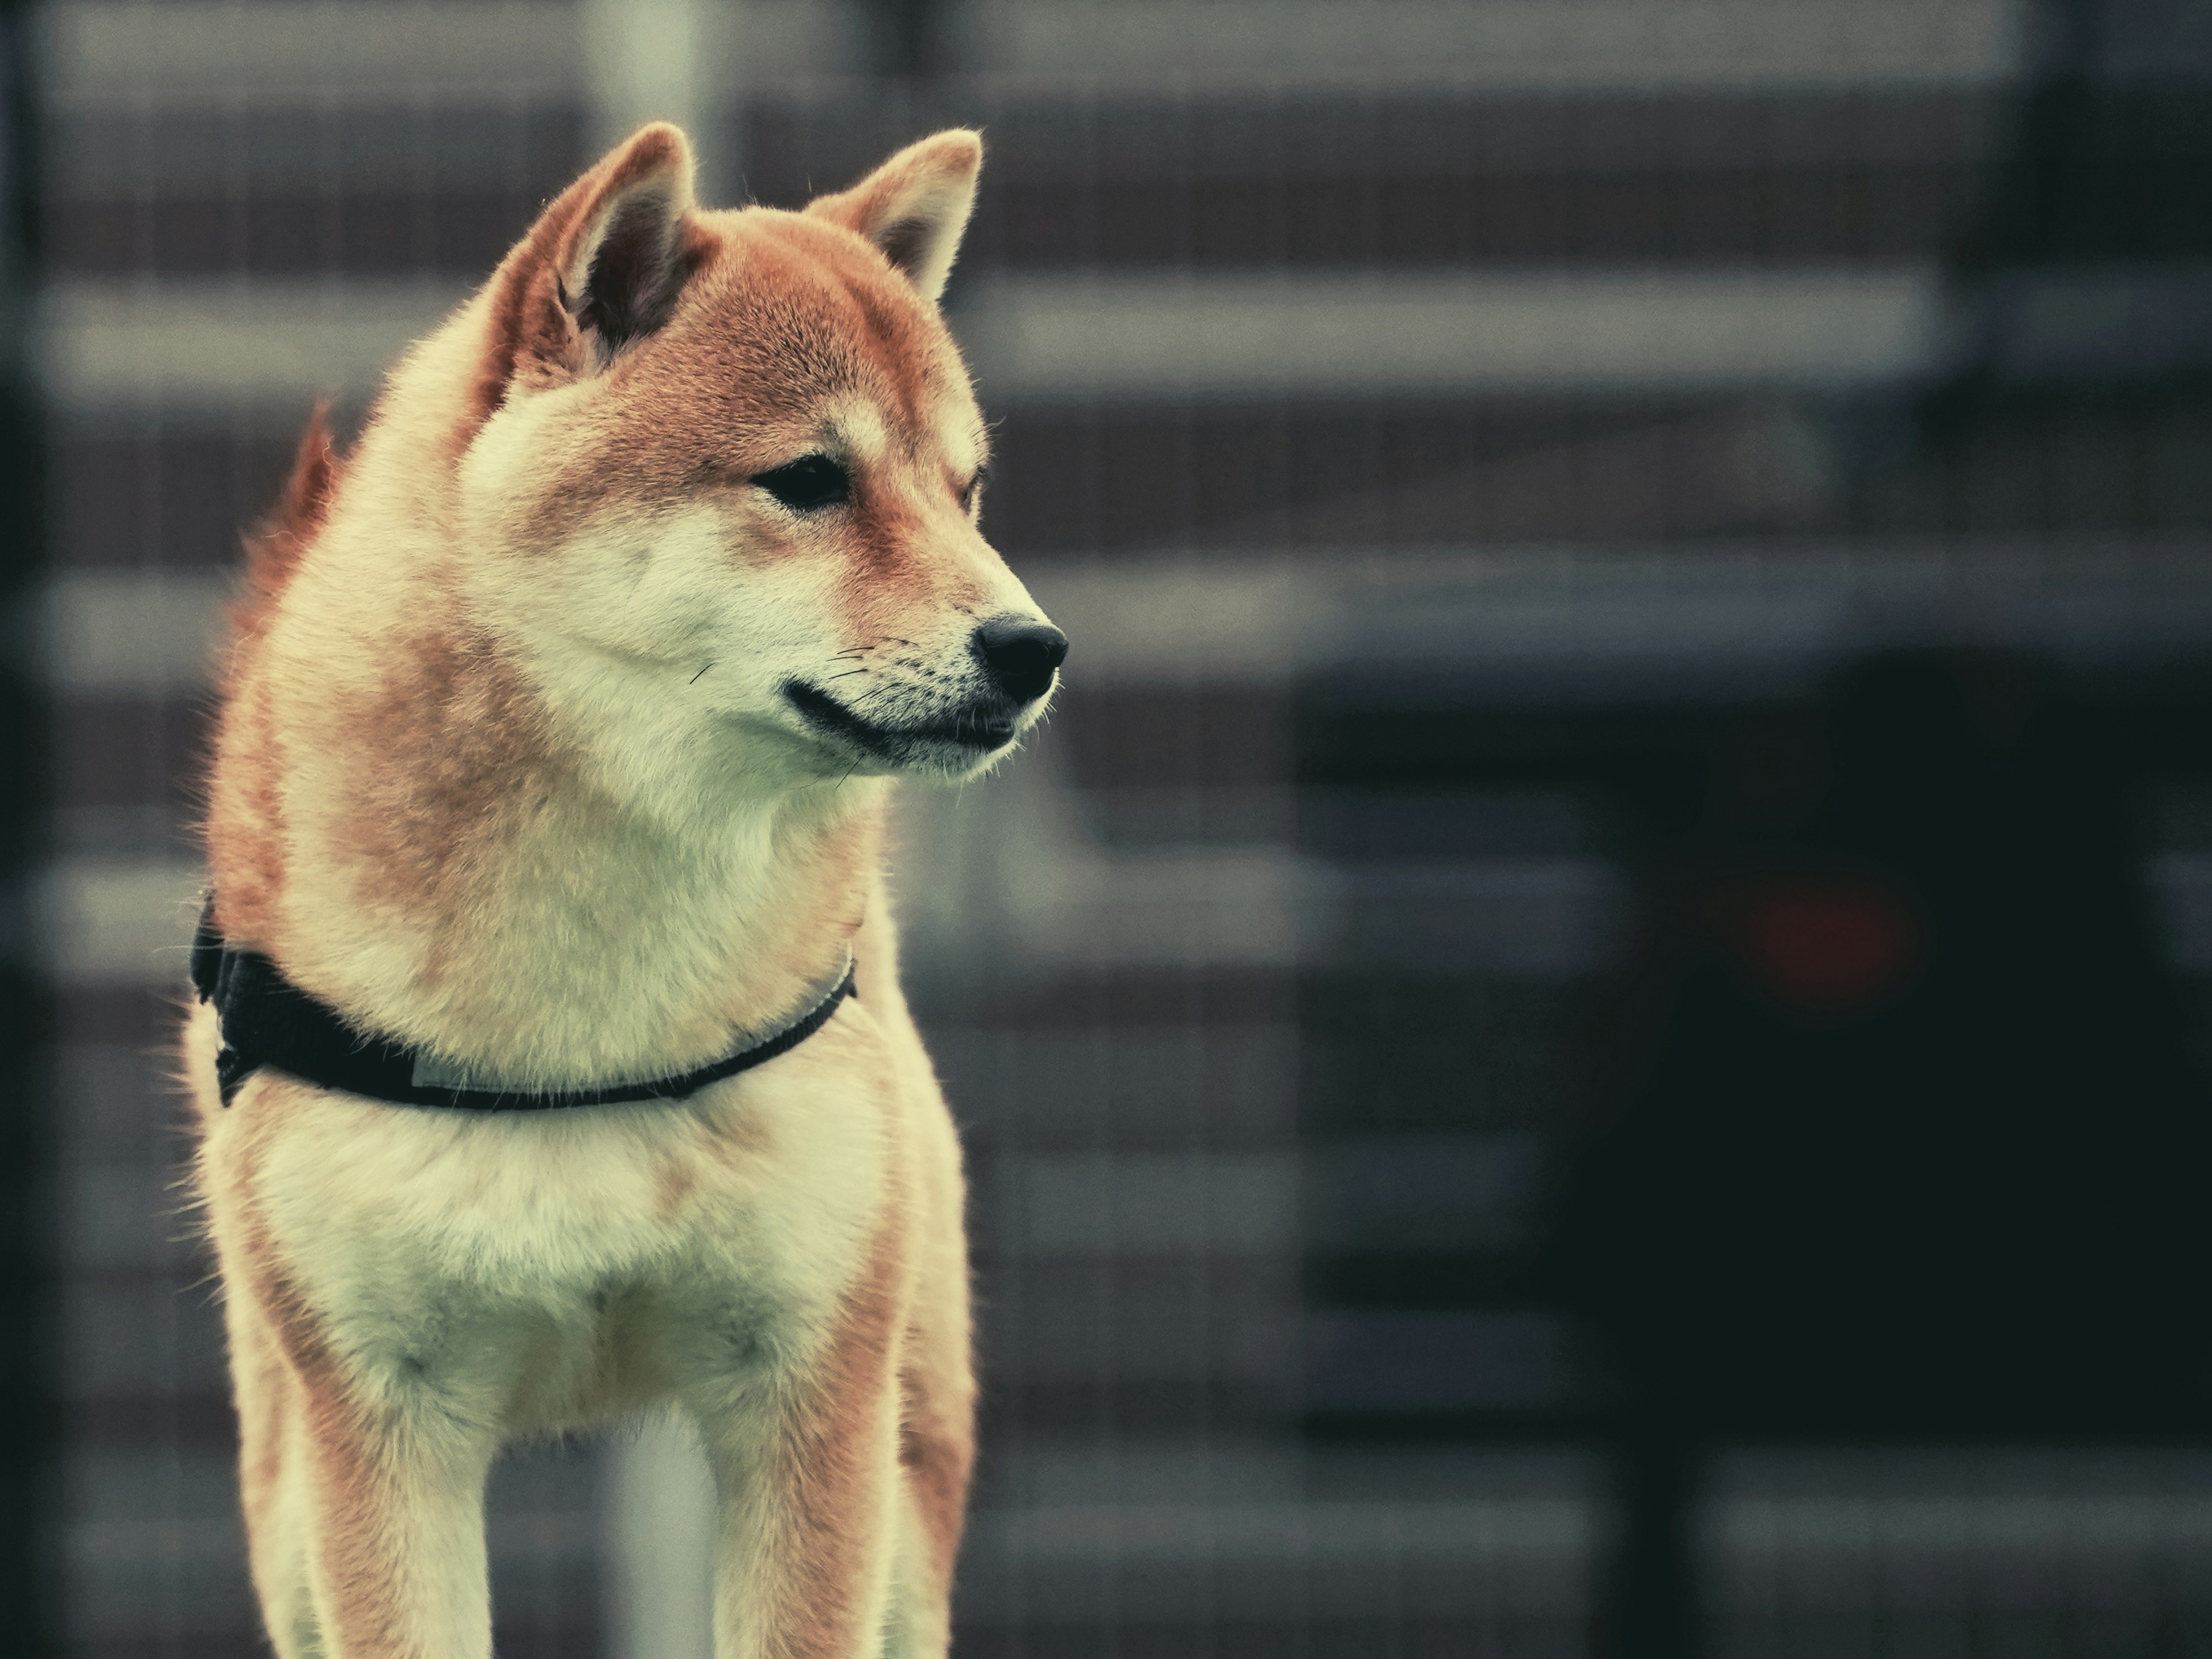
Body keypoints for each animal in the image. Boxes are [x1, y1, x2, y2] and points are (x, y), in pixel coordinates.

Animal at [181, 120, 1062, 1659]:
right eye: (810, 481)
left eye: (963, 496)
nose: (1032, 647)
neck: (588, 1021)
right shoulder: (382, 1429)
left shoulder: (807, 1400)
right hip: (287, 1493)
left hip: (907, 1463)